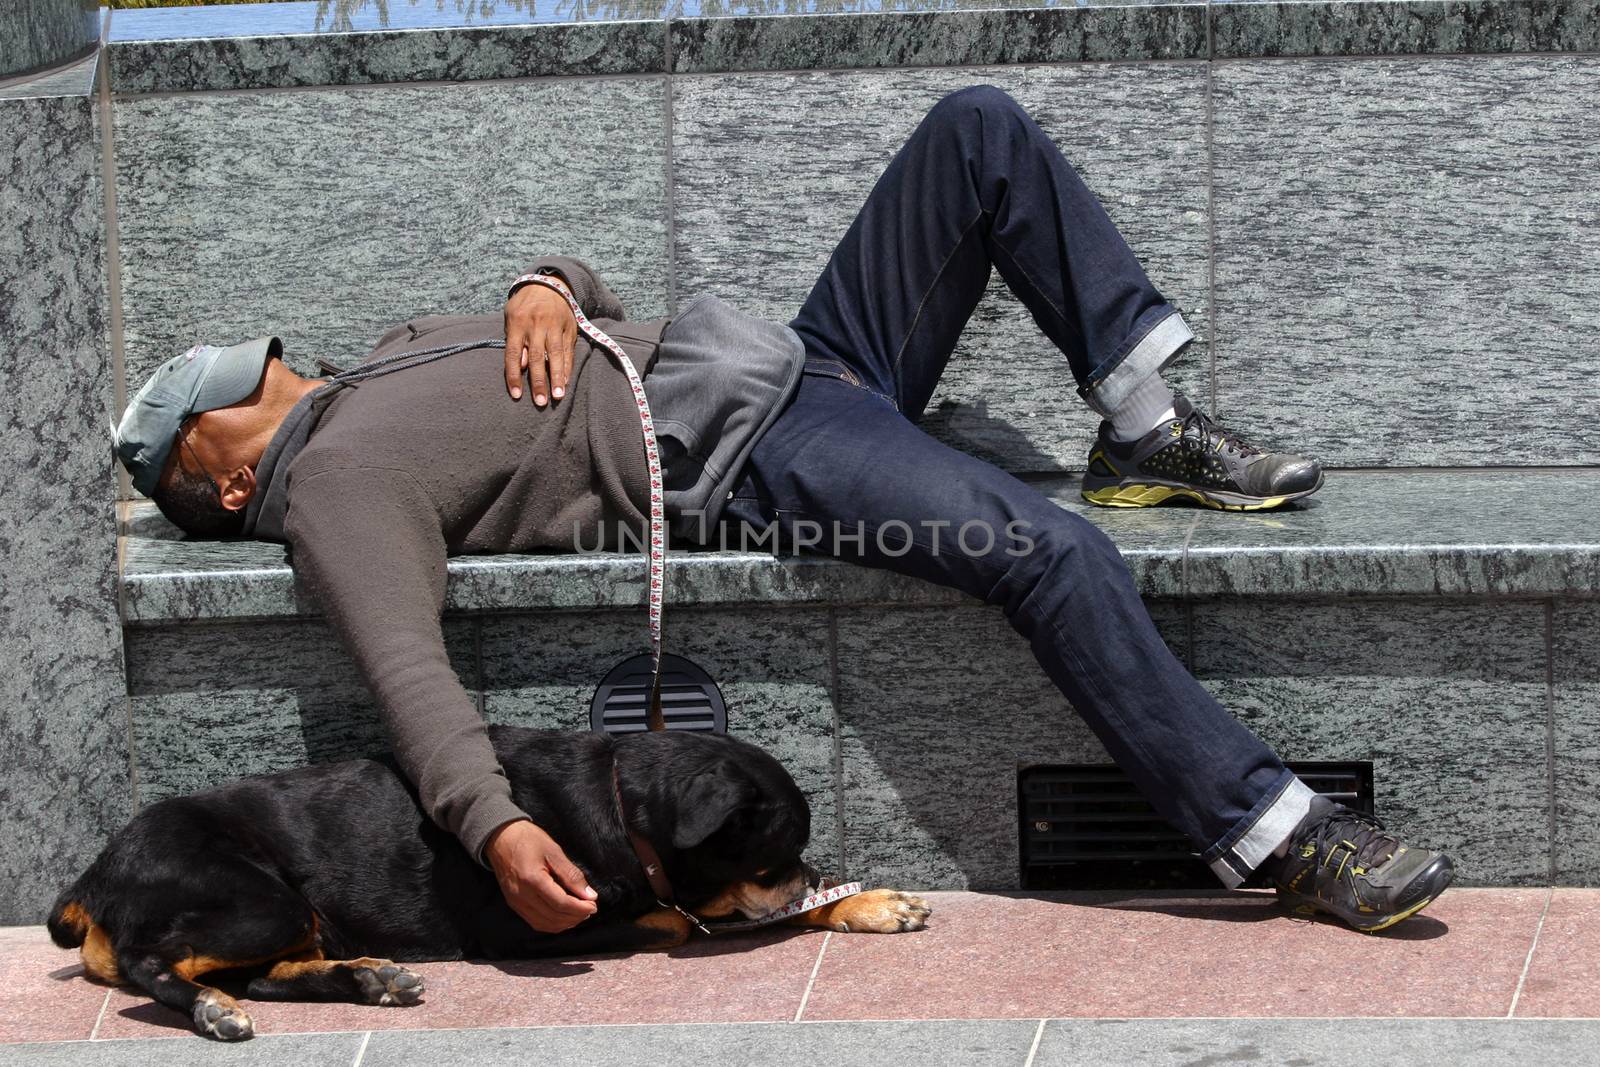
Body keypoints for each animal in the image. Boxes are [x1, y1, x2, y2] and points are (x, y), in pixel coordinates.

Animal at [50, 729, 934, 1036]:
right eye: (775, 858)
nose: (811, 871)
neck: (622, 804)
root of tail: (94, 872)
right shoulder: (530, 924)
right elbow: (690, 919)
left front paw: (866, 901)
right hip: (260, 898)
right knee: (154, 964)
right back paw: (208, 1007)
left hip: (295, 915)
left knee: (267, 974)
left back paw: (366, 978)